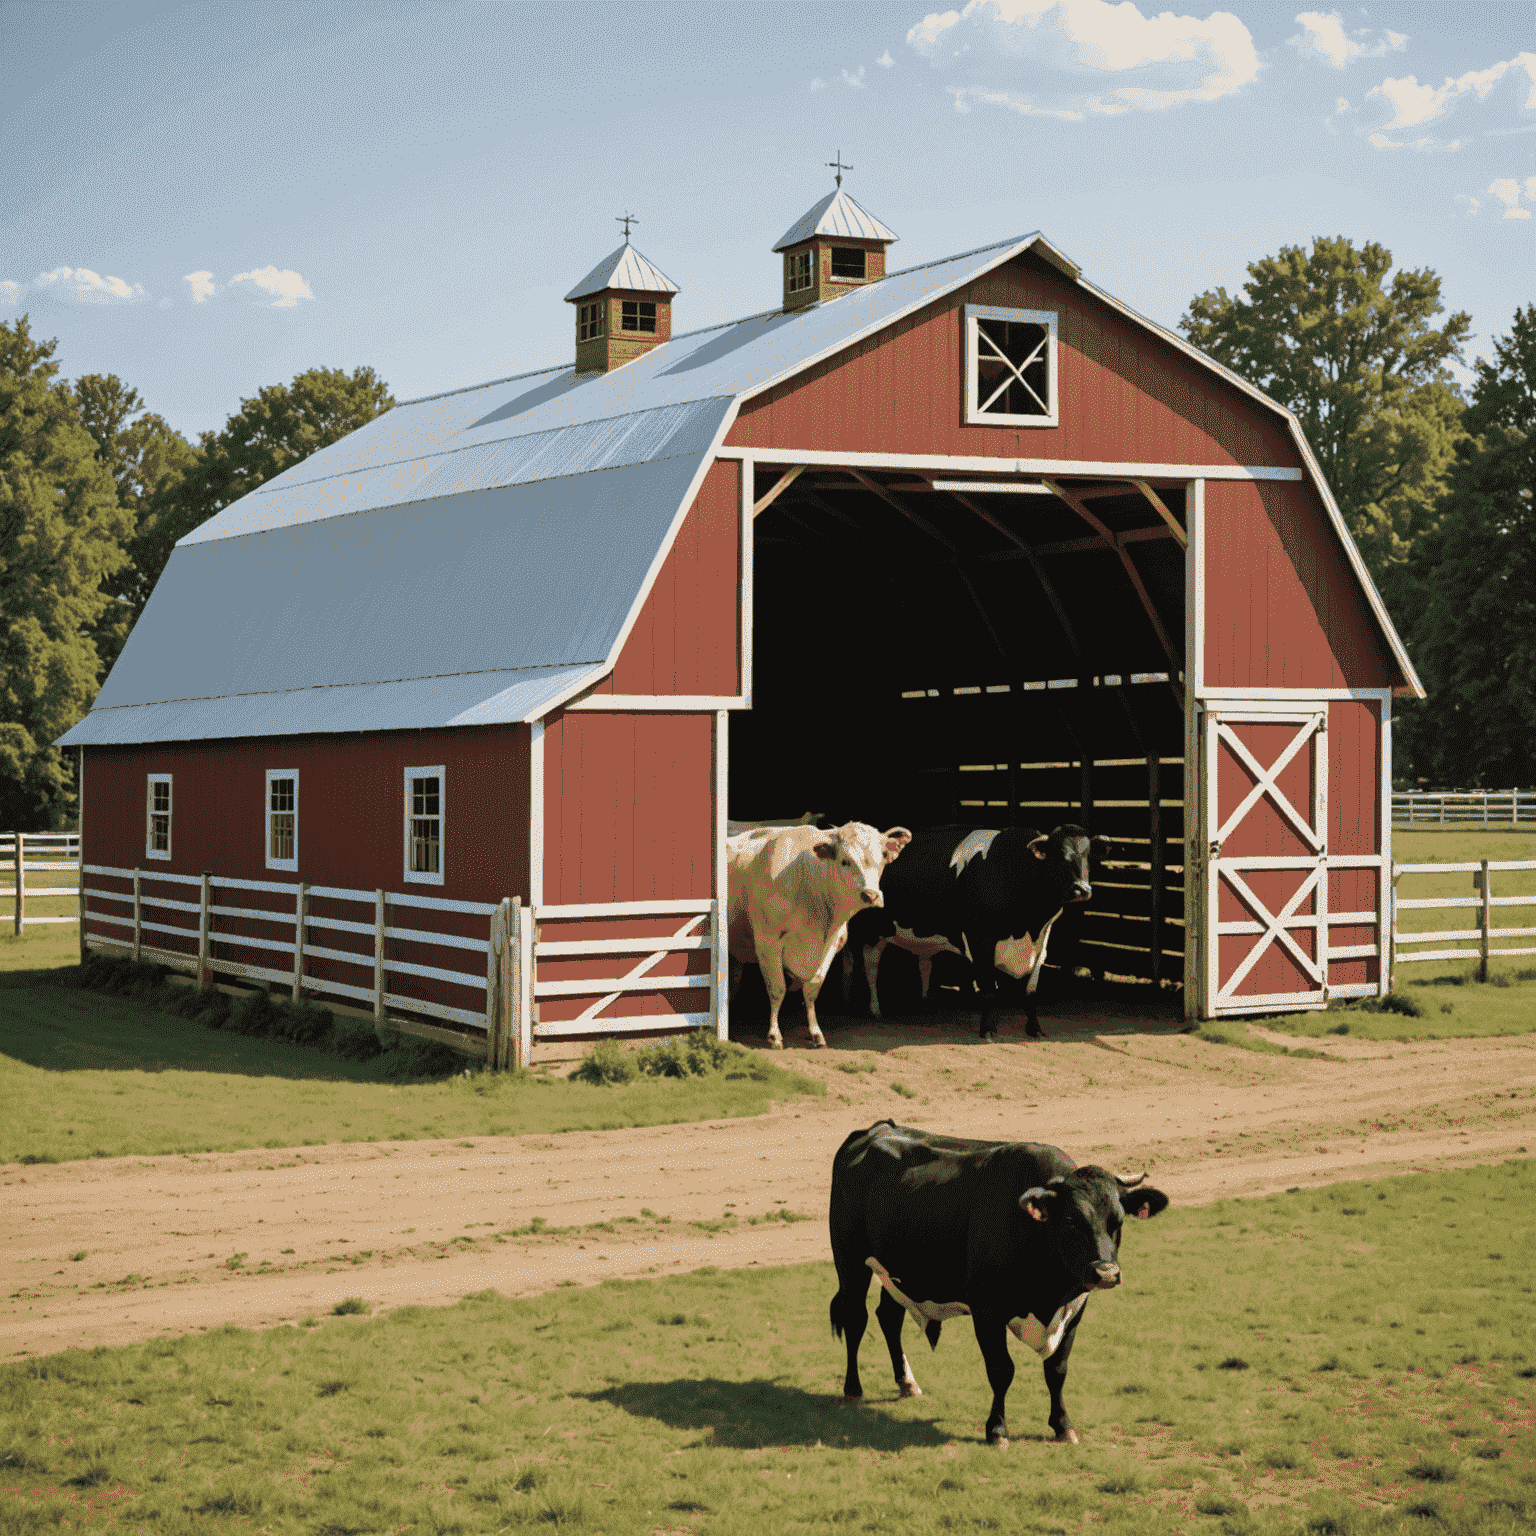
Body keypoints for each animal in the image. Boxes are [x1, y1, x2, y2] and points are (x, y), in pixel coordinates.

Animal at [721, 823, 903, 1050]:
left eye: (882, 859)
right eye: (845, 861)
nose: (871, 895)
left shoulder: (833, 942)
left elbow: (813, 986)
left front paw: (816, 1032)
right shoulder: (768, 941)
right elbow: (777, 988)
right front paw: (774, 1035)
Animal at [835, 1124, 1167, 1443]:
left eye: (1118, 1221)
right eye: (1071, 1220)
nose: (1107, 1273)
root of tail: (877, 1129)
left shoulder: (1074, 1310)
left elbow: (1057, 1369)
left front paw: (1062, 1426)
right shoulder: (987, 1311)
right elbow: (1001, 1370)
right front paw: (997, 1430)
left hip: (897, 1273)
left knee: (889, 1317)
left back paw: (907, 1383)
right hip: (850, 1263)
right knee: (855, 1318)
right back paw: (853, 1390)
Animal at [847, 823, 1112, 1038]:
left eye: (1088, 855)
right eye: (1058, 855)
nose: (1082, 889)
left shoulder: (1041, 942)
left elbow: (1030, 991)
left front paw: (1035, 1029)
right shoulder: (980, 938)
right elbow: (988, 989)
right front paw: (988, 1029)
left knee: (908, 963)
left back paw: (921, 1004)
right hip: (862, 927)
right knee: (862, 964)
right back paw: (870, 1007)